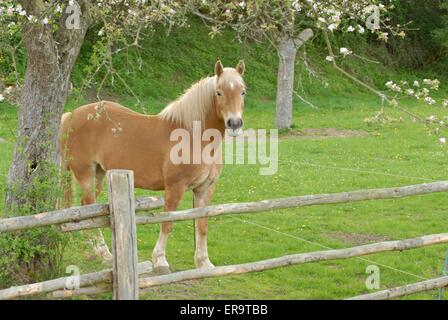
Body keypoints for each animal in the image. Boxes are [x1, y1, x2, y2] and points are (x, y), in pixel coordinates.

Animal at [58, 60, 247, 272]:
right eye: (219, 92)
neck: (193, 136)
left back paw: (93, 248)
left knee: (87, 208)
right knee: (88, 204)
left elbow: (202, 224)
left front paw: (204, 262)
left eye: (243, 91)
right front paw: (160, 260)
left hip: (99, 174)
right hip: (86, 174)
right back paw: (103, 251)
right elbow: (167, 221)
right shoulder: (175, 187)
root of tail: (70, 115)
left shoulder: (204, 189)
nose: (234, 123)